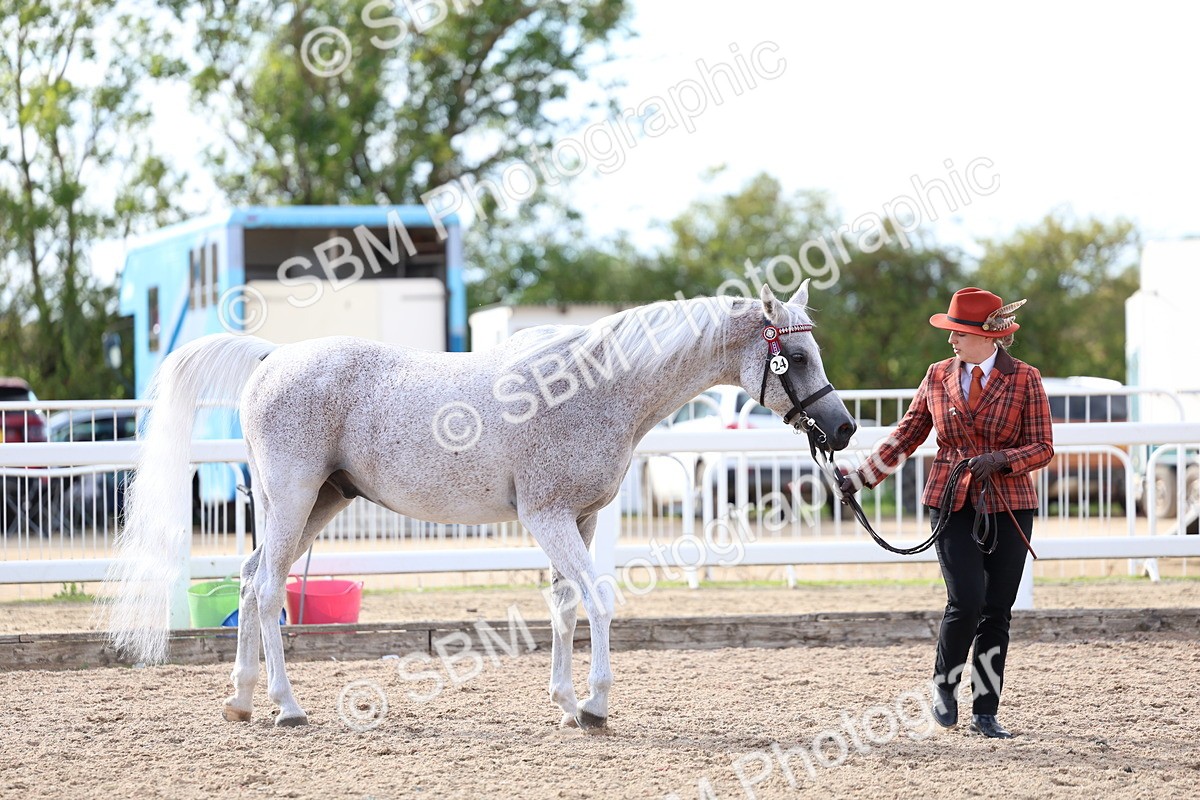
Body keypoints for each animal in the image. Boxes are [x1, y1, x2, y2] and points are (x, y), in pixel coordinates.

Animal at [104, 280, 856, 729]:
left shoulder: (577, 520)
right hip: (292, 498)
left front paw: (565, 703)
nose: (844, 428)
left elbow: (565, 606)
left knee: (251, 578)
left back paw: (240, 700)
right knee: (264, 590)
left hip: (317, 502)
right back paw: (287, 707)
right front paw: (596, 705)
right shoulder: (549, 518)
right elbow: (601, 599)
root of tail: (271, 359)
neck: (594, 386)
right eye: (798, 359)